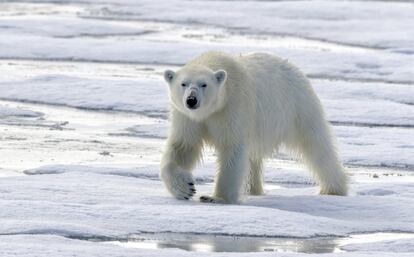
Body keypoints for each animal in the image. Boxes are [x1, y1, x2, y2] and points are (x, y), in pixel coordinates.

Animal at [160, 51, 348, 203]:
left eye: (203, 84)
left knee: (317, 146)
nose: (191, 100)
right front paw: (185, 188)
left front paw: (215, 198)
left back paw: (334, 189)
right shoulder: (188, 117)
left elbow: (232, 148)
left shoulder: (233, 107)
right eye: (183, 84)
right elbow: (183, 146)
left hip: (298, 108)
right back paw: (253, 189)